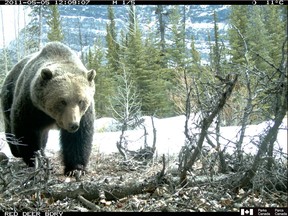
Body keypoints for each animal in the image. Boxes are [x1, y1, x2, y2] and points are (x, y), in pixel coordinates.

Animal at [0, 41, 96, 176]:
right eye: (62, 101)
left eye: (81, 101)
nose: (73, 124)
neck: (51, 115)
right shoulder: (30, 106)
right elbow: (27, 131)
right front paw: (34, 160)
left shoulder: (84, 114)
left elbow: (79, 137)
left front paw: (75, 168)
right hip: (8, 95)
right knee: (10, 125)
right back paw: (16, 151)